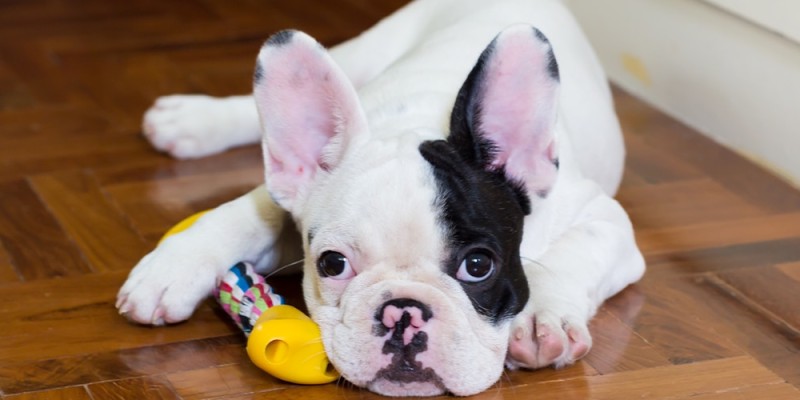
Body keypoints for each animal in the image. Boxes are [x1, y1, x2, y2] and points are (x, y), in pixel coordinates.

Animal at [117, 0, 644, 396]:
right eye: (331, 264)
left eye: (479, 266)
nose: (403, 312)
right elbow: (247, 213)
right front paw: (174, 267)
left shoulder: (605, 219)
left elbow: (571, 255)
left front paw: (539, 319)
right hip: (366, 50)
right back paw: (191, 121)